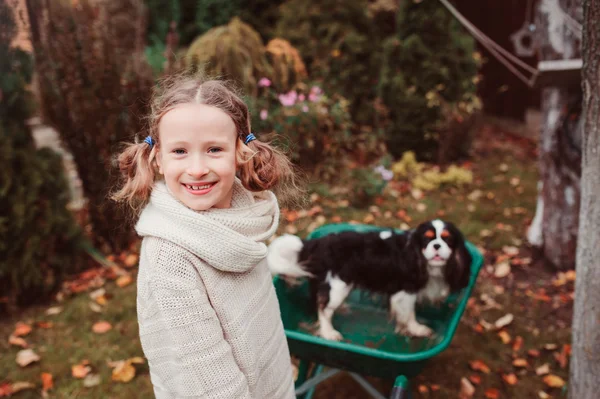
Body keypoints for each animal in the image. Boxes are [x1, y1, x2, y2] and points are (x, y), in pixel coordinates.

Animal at [268, 220, 474, 342]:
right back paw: (329, 333)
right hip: (338, 285)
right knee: (323, 308)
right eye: (427, 239)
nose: (437, 245)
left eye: (448, 240)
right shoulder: (405, 292)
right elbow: (409, 314)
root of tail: (316, 243)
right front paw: (416, 329)